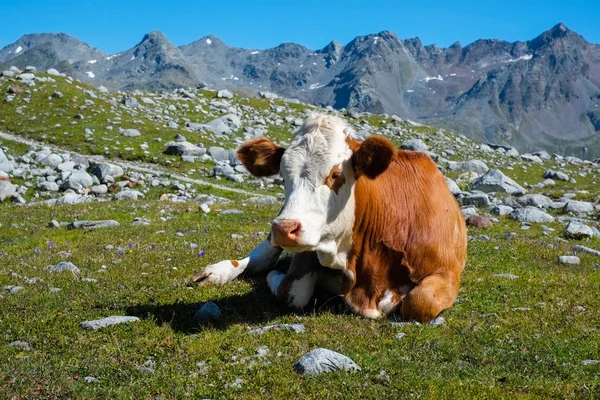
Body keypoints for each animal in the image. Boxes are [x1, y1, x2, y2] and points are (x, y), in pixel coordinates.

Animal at [193, 112, 468, 322]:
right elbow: (292, 291)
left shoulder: (447, 270)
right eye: (282, 175)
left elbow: (420, 302)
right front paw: (275, 276)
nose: (284, 228)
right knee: (261, 256)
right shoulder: (308, 246)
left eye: (336, 175)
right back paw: (216, 272)